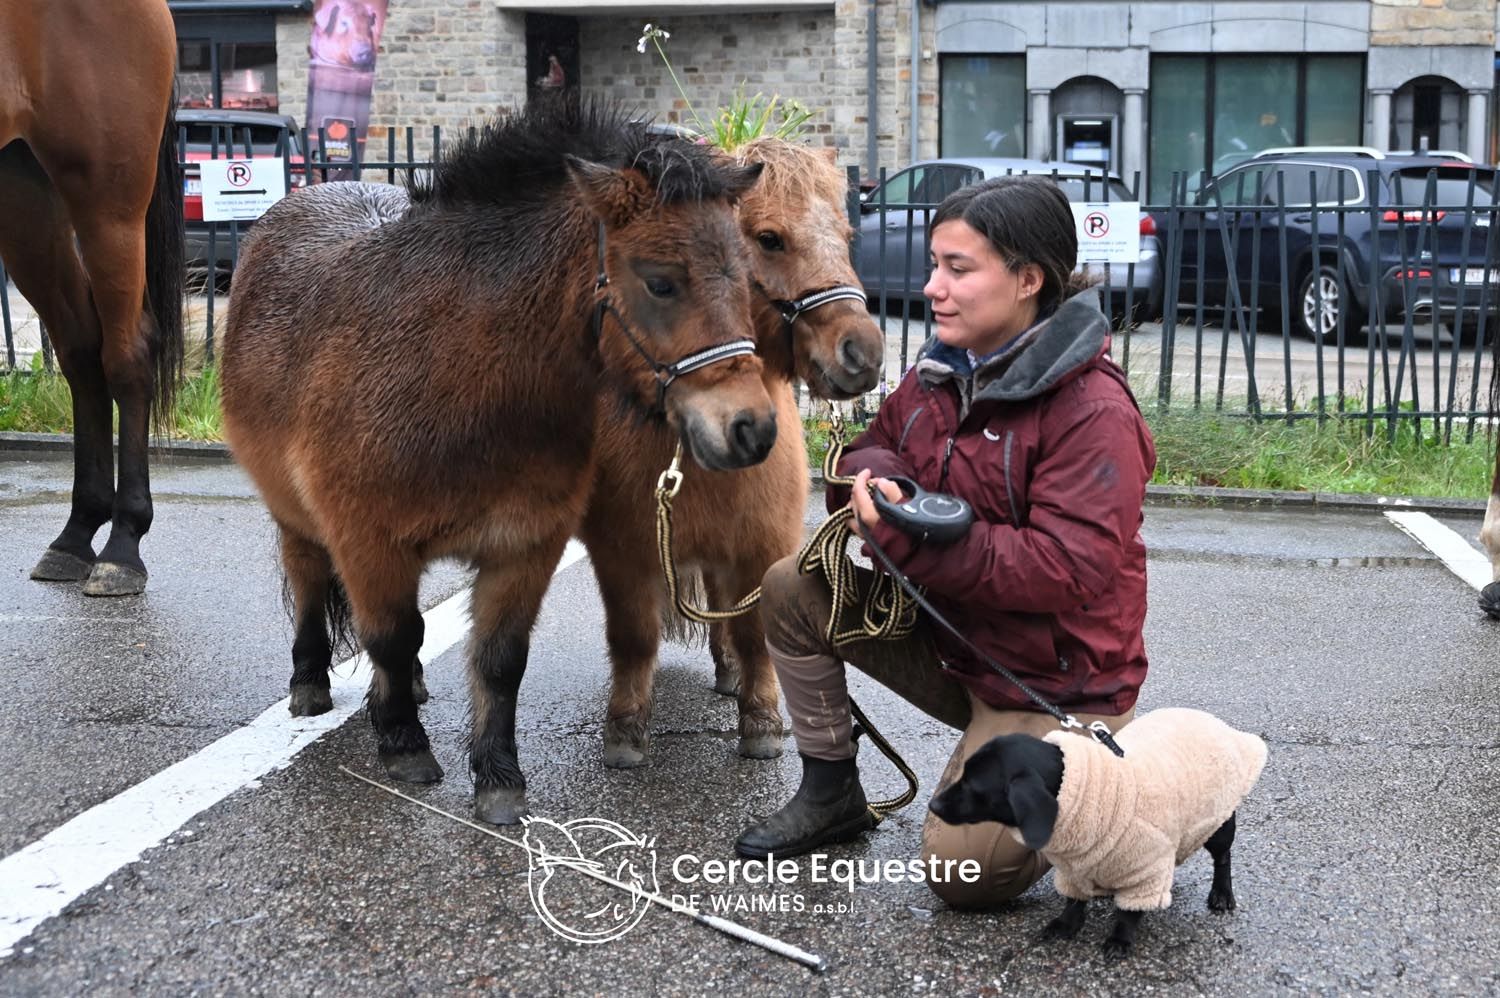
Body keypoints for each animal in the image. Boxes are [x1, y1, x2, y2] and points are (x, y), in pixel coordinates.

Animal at [0, 0, 184, 597]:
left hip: (108, 200)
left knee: (126, 355)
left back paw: (123, 545)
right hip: (23, 193)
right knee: (82, 350)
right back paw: (77, 532)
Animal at [219, 101, 777, 825]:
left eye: (747, 279)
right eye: (661, 281)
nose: (752, 429)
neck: (456, 376)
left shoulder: (524, 547)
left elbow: (498, 660)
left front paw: (499, 778)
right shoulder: (368, 541)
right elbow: (392, 635)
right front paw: (404, 747)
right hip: (296, 521)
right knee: (312, 584)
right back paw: (312, 682)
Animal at [580, 137, 885, 769]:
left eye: (845, 236)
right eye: (769, 238)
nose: (863, 354)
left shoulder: (761, 544)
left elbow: (753, 635)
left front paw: (762, 719)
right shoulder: (622, 553)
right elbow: (633, 637)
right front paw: (625, 729)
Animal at [928, 708, 1267, 959]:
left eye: (974, 786)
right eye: (963, 772)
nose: (933, 804)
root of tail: (1211, 720)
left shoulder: (1145, 869)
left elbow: (1129, 912)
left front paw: (1119, 940)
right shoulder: (1073, 868)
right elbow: (1073, 901)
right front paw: (1065, 925)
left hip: (1218, 823)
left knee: (1223, 857)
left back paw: (1222, 894)